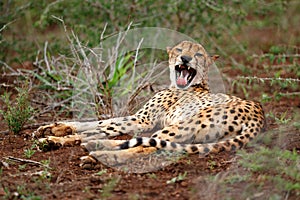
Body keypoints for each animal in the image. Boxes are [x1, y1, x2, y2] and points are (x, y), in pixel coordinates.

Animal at [34, 41, 264, 168]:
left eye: (198, 54)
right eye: (180, 49)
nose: (185, 58)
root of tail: (259, 113)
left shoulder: (143, 120)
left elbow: (102, 126)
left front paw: (55, 138)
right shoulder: (141, 119)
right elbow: (97, 123)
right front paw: (54, 129)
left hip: (182, 125)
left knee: (146, 146)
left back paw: (100, 156)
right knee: (143, 143)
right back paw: (96, 148)